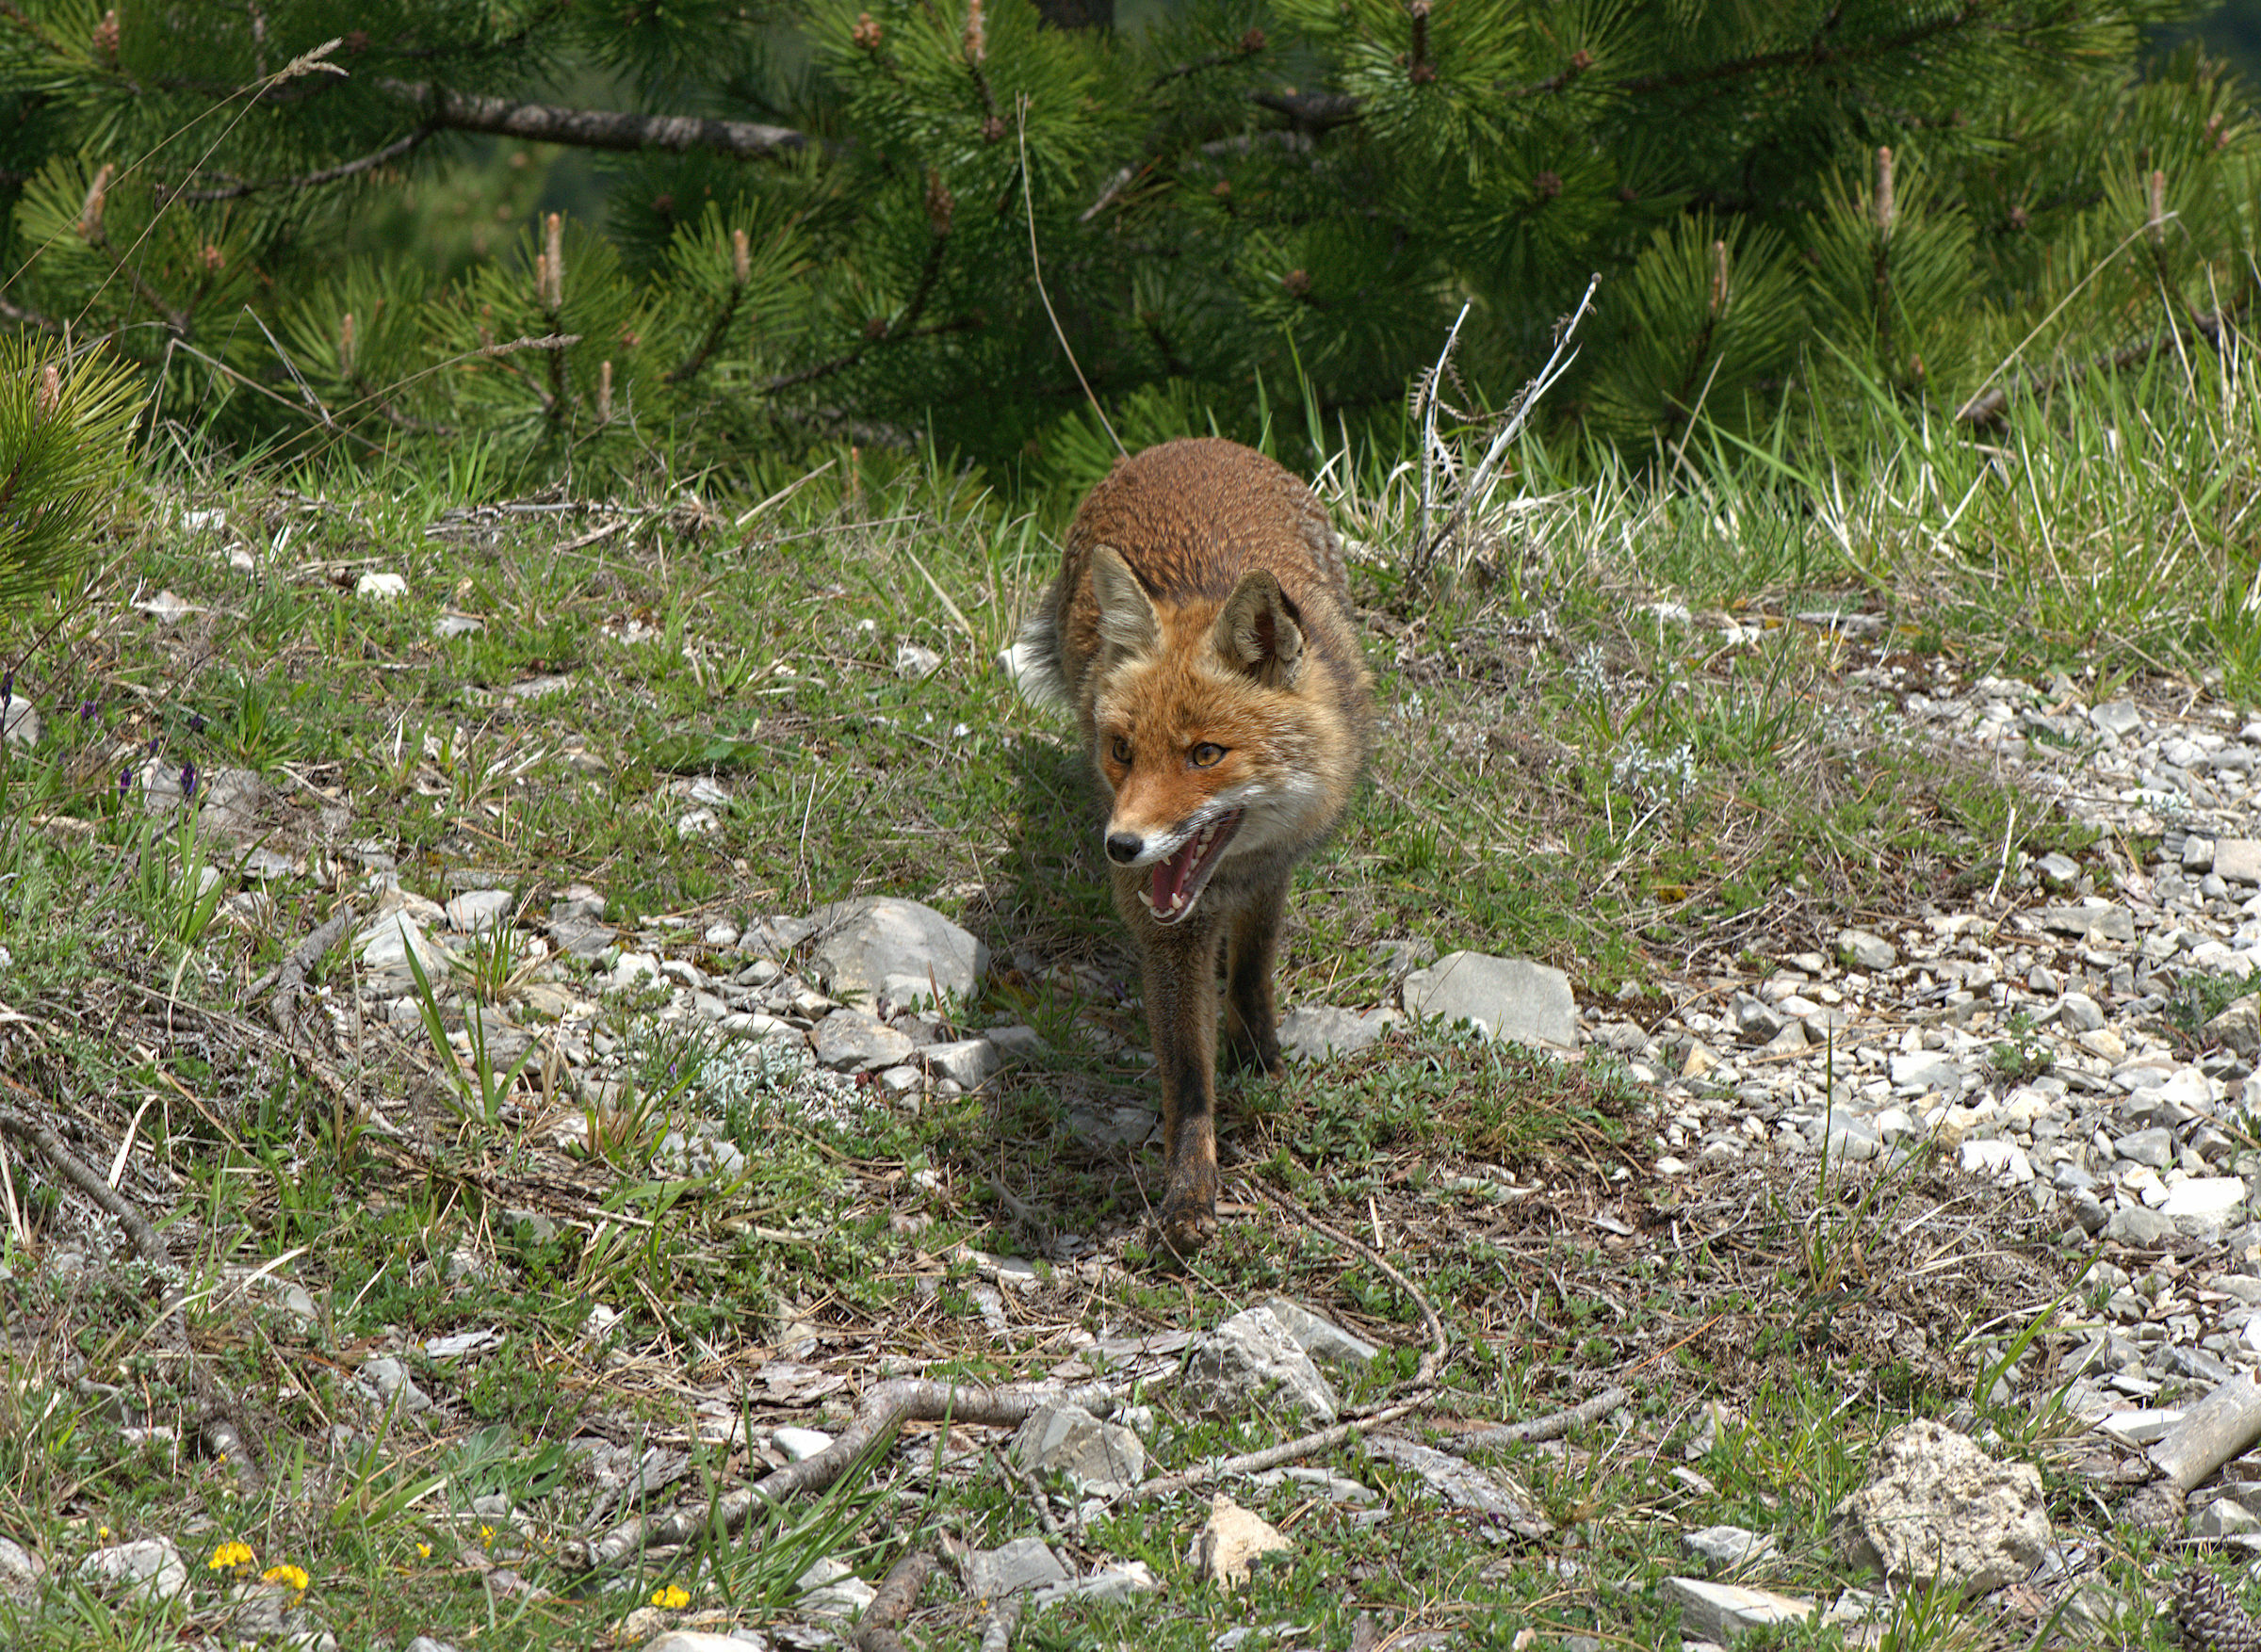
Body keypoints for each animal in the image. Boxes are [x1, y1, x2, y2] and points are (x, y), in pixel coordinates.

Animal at [1015, 437, 1374, 1252]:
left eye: (1204, 755)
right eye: (1122, 750)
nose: (1121, 846)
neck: (1229, 875)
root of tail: (1189, 443)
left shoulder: (1274, 873)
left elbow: (1252, 972)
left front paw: (1260, 1059)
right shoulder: (1165, 930)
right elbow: (1186, 1076)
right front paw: (1189, 1191)